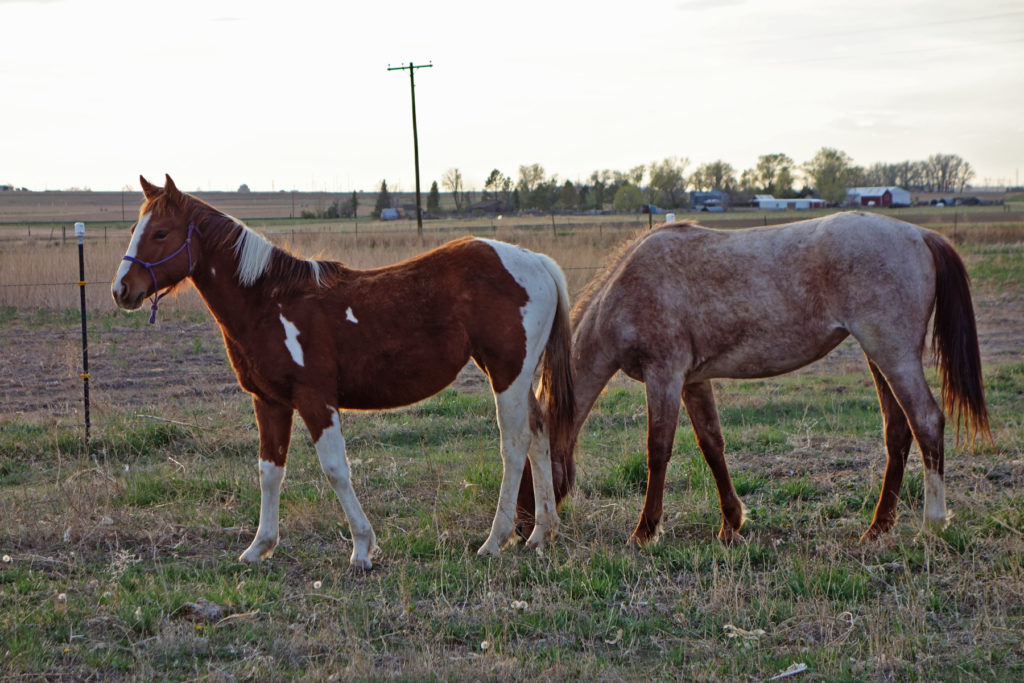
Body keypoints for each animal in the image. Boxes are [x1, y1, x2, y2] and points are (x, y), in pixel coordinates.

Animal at [115, 174, 577, 569]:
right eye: (137, 228)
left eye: (160, 233)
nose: (122, 290)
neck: (270, 302)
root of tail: (535, 260)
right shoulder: (269, 402)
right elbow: (269, 471)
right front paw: (259, 547)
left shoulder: (315, 399)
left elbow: (336, 470)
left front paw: (362, 548)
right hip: (519, 377)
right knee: (539, 433)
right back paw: (540, 534)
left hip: (507, 375)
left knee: (514, 444)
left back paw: (495, 540)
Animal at [516, 210, 987, 548]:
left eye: (530, 460)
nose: (523, 526)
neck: (631, 286)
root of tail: (920, 235)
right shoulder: (692, 380)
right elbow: (711, 445)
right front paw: (731, 524)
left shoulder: (664, 375)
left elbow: (658, 451)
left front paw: (645, 531)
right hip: (878, 356)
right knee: (898, 432)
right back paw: (877, 527)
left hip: (893, 353)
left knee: (926, 422)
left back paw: (932, 523)